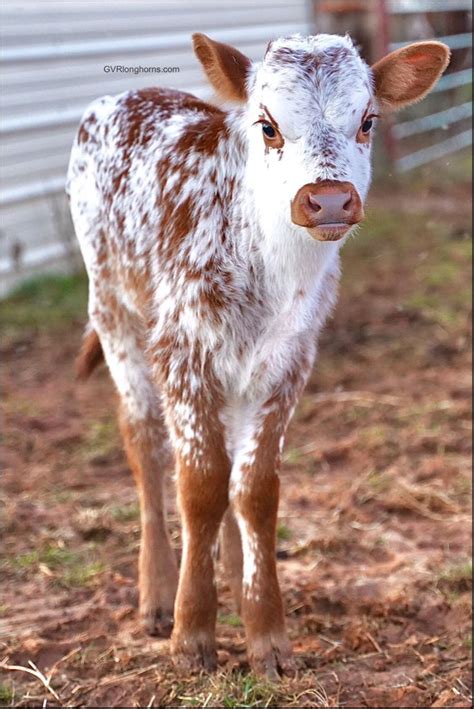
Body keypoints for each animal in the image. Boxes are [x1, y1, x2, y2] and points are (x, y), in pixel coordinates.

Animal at [66, 31, 448, 676]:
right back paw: (157, 593)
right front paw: (192, 633)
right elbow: (199, 485)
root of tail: (128, 92)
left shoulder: (290, 361)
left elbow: (255, 489)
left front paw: (266, 633)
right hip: (113, 307)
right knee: (143, 440)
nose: (329, 201)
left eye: (367, 121)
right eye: (268, 126)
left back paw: (227, 567)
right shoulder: (182, 349)